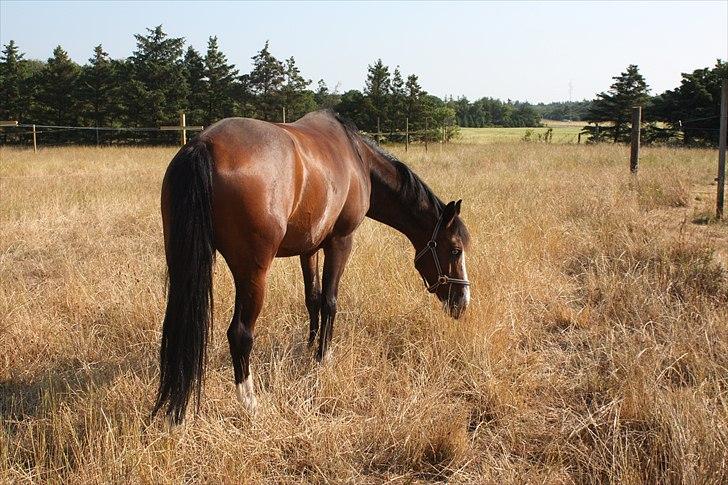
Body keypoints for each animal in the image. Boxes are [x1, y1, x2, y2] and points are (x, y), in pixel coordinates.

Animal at [154, 108, 472, 422]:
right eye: (456, 250)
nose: (463, 301)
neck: (358, 157)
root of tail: (203, 145)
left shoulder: (309, 250)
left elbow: (313, 299)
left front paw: (309, 348)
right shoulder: (340, 242)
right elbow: (330, 301)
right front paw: (323, 357)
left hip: (182, 265)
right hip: (252, 273)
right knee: (240, 333)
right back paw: (250, 403)